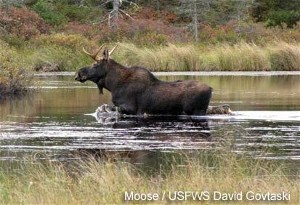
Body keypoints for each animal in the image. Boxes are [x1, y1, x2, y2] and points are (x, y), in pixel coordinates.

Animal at [74, 44, 212, 115]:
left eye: (95, 64)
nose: (78, 73)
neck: (113, 85)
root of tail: (211, 89)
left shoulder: (130, 108)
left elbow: (107, 108)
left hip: (196, 110)